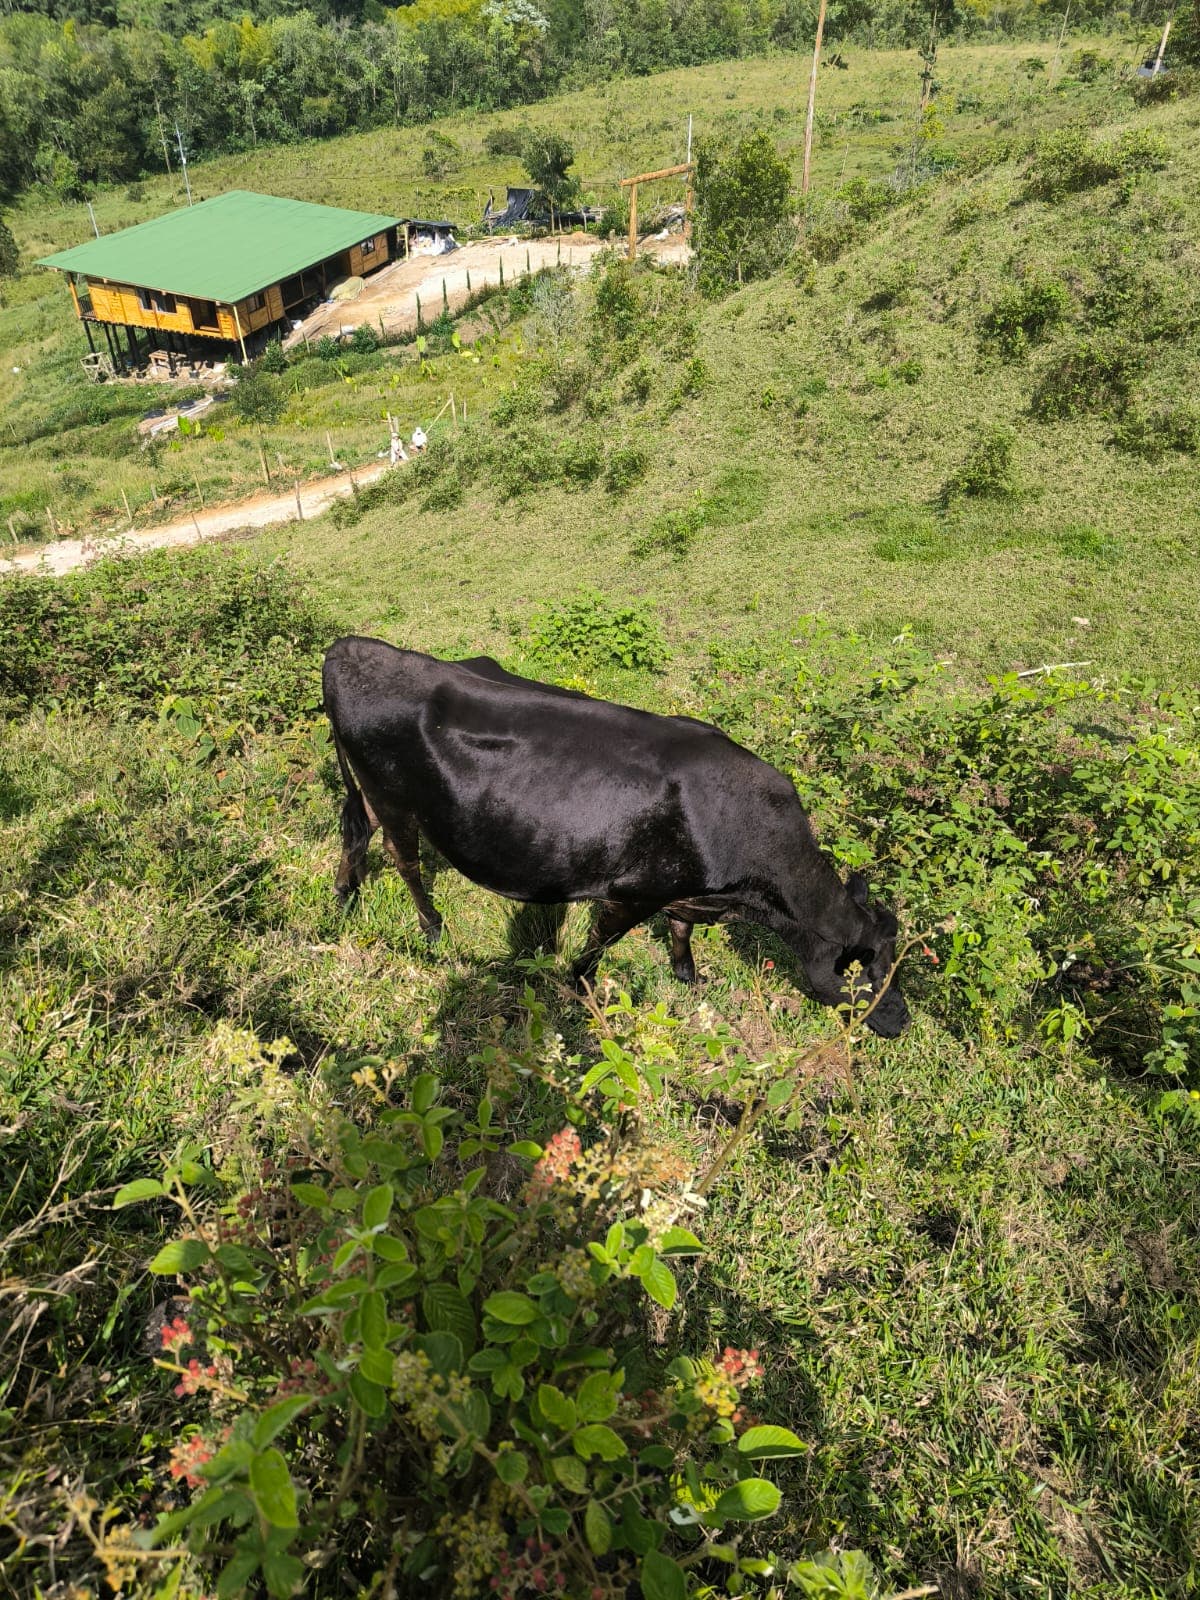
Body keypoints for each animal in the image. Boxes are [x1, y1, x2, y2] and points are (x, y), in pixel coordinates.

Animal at [322, 637, 910, 1037]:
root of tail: (353, 646)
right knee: (403, 858)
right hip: (394, 797)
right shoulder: (633, 892)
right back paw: (432, 928)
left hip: (370, 790)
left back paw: (345, 899)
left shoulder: (683, 890)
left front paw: (687, 974)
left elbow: (680, 929)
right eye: (869, 969)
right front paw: (581, 989)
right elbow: (600, 945)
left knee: (356, 835)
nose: (902, 1021)